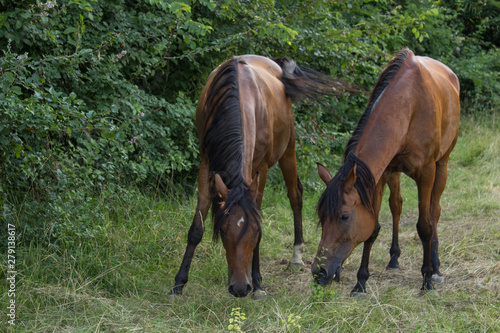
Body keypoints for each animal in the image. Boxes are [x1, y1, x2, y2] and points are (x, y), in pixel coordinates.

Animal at [170, 54, 342, 298]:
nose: (240, 288)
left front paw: (258, 283)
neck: (239, 102)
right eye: (223, 233)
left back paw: (296, 255)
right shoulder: (206, 164)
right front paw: (179, 283)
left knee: (295, 194)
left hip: (288, 148)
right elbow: (196, 228)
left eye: (253, 234)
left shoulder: (261, 169)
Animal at [312, 48, 460, 294]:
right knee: (396, 205)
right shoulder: (378, 176)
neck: (408, 104)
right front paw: (361, 282)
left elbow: (425, 226)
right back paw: (394, 258)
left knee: (434, 211)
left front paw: (427, 279)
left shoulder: (426, 173)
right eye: (321, 217)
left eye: (344, 216)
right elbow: (373, 228)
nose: (319, 272)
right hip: (394, 173)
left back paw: (436, 269)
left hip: (442, 165)